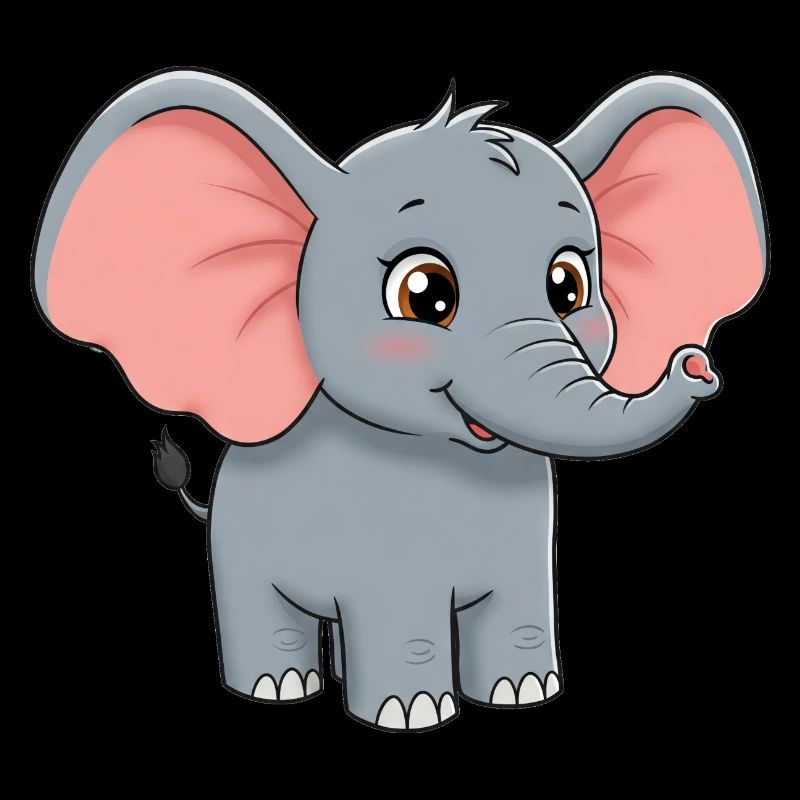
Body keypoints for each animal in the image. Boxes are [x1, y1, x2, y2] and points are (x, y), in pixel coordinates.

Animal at [32, 69, 766, 731]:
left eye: (570, 286)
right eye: (426, 295)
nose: (697, 363)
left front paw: (525, 693)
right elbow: (402, 611)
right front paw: (411, 714)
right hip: (237, 547)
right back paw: (278, 688)